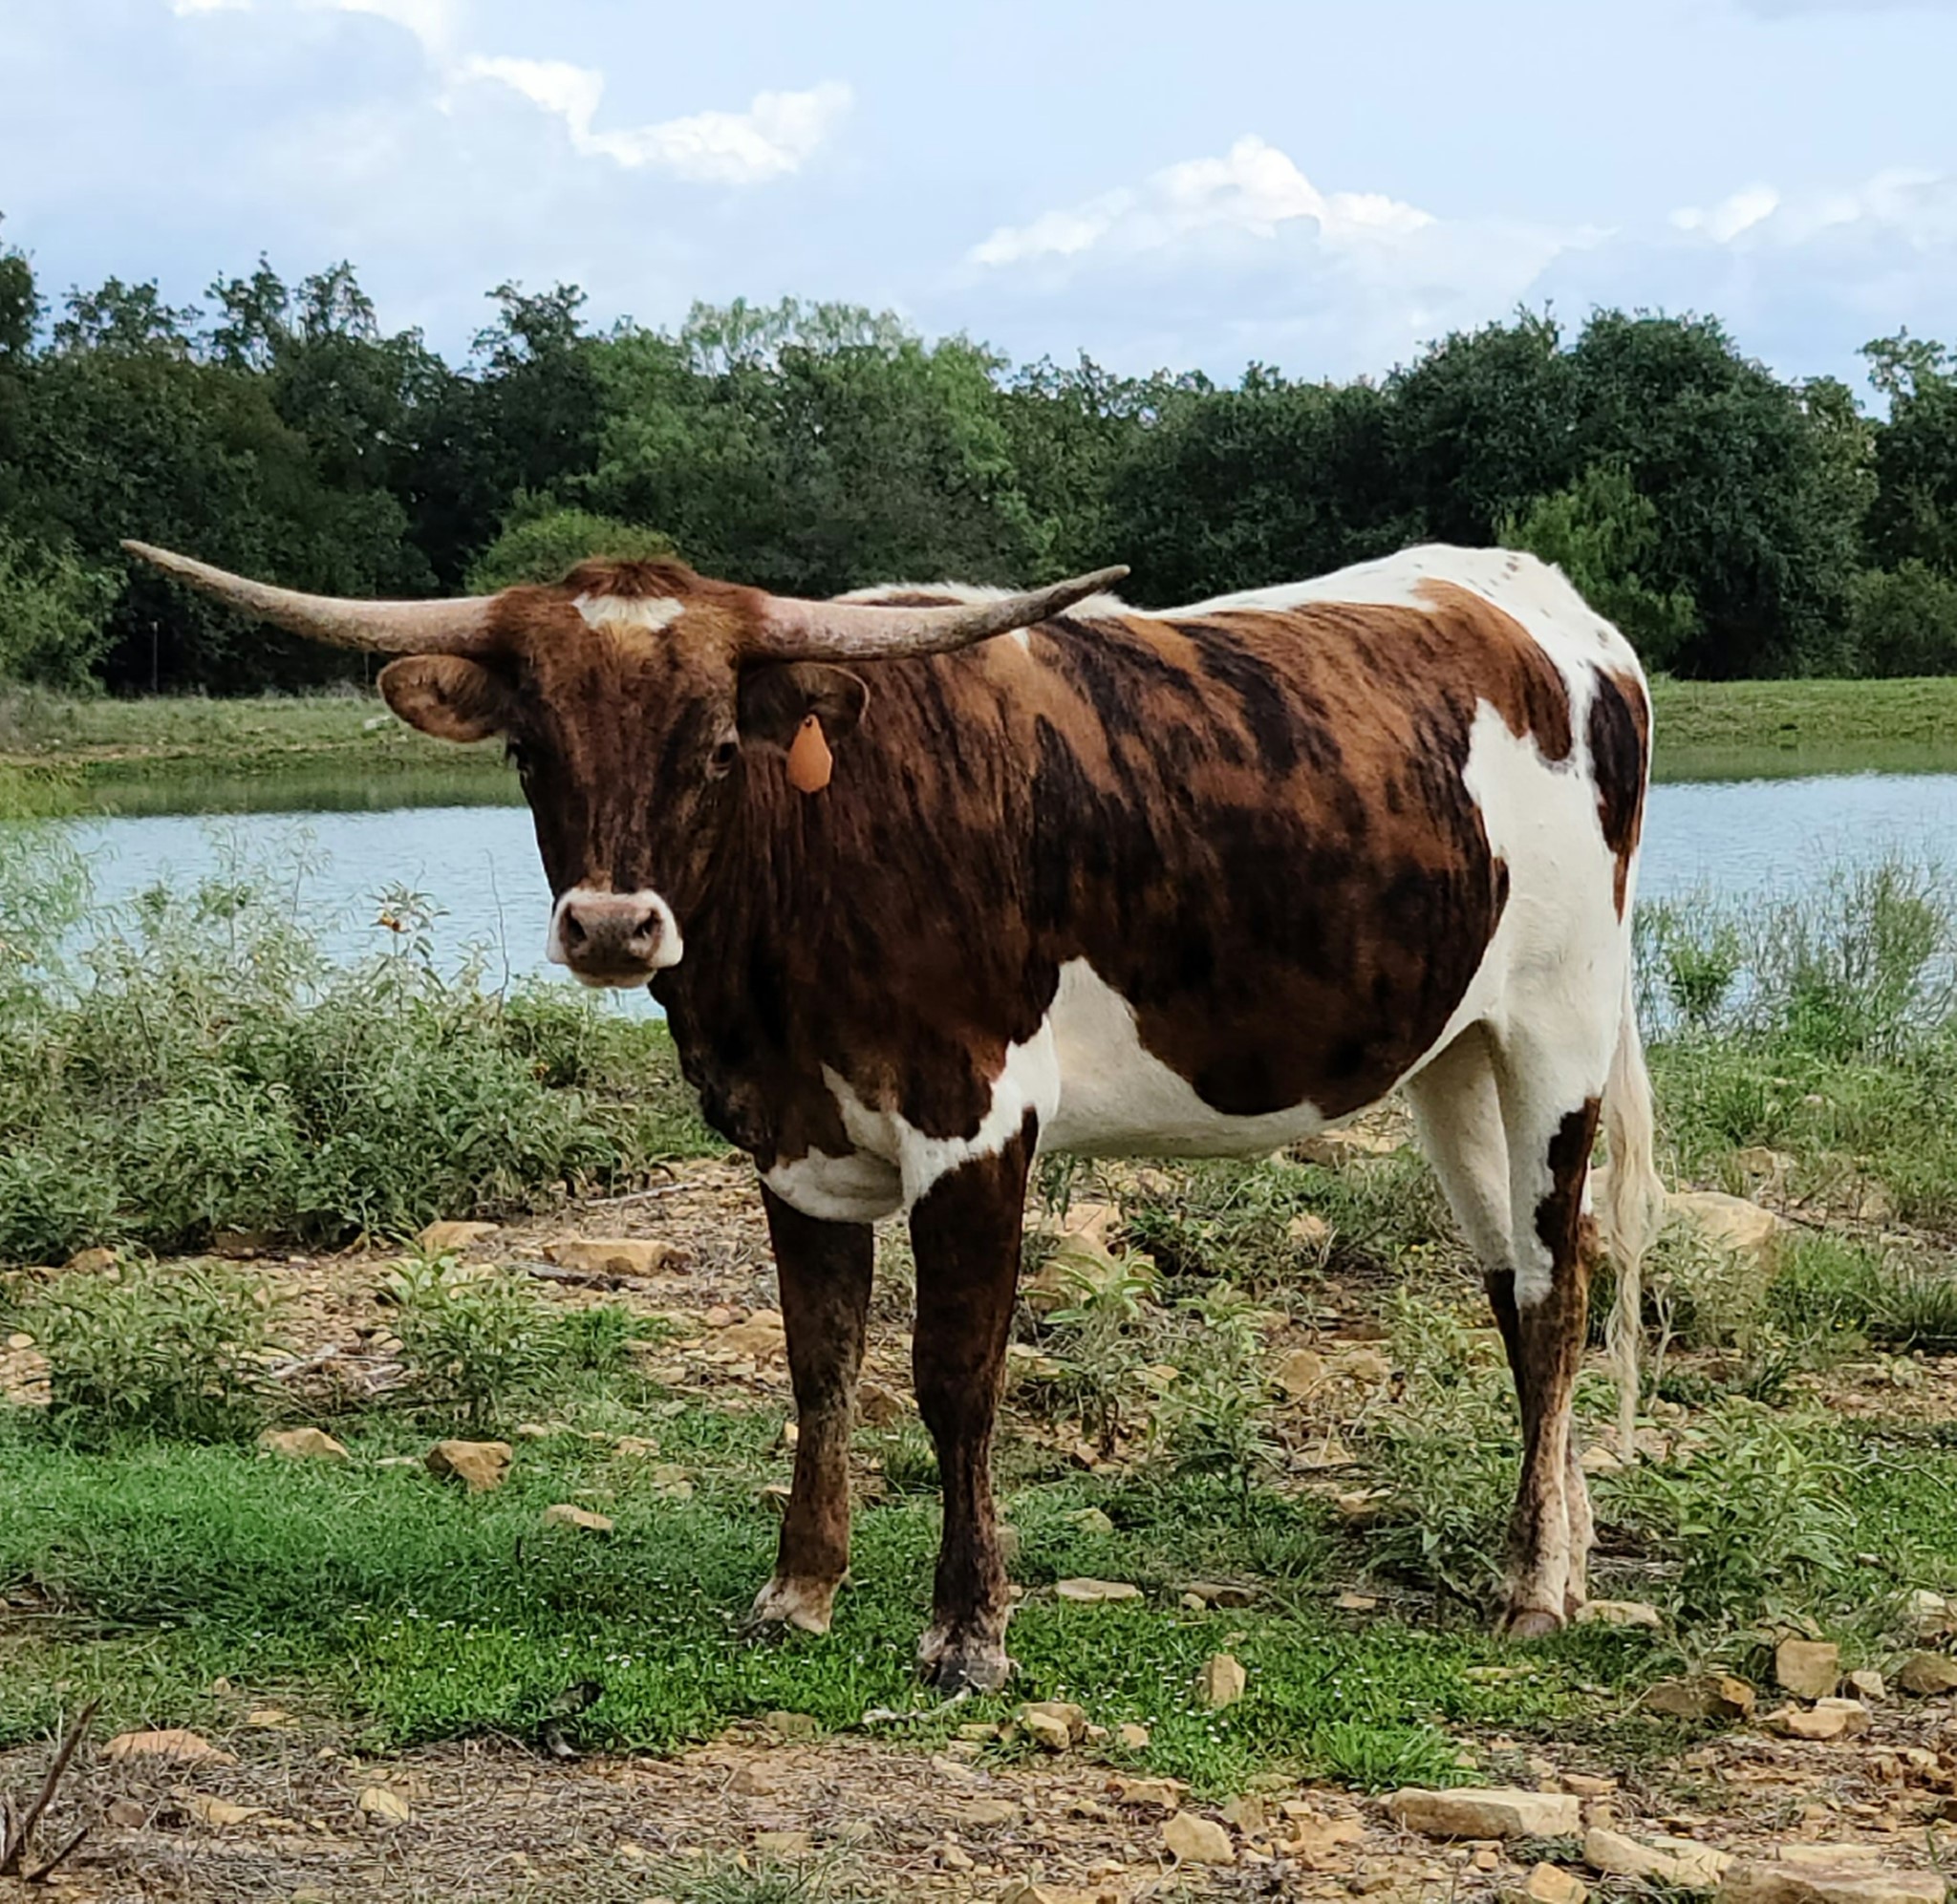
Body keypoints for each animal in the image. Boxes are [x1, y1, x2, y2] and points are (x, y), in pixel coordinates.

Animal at [125, 537, 1666, 1693]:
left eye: (716, 746)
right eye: (531, 748)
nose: (614, 926)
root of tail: (1533, 596)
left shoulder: (971, 1118)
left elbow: (952, 1375)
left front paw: (968, 1630)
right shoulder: (795, 1142)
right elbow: (819, 1366)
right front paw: (798, 1589)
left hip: (1556, 1033)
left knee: (1556, 1292)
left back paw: (1533, 1587)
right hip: (1450, 1057)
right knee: (1517, 1283)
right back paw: (1563, 1551)